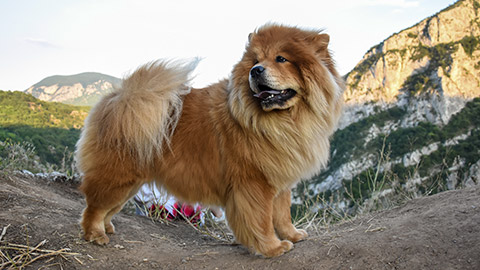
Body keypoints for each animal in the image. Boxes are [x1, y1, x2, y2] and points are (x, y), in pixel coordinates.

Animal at [77, 24, 344, 258]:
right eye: (256, 60)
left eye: (281, 59)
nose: (255, 70)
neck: (279, 122)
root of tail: (117, 98)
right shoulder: (254, 184)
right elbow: (262, 221)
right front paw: (272, 248)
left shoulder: (279, 179)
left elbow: (282, 215)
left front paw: (293, 235)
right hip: (118, 177)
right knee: (95, 207)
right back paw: (95, 234)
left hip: (130, 182)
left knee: (107, 208)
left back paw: (107, 228)